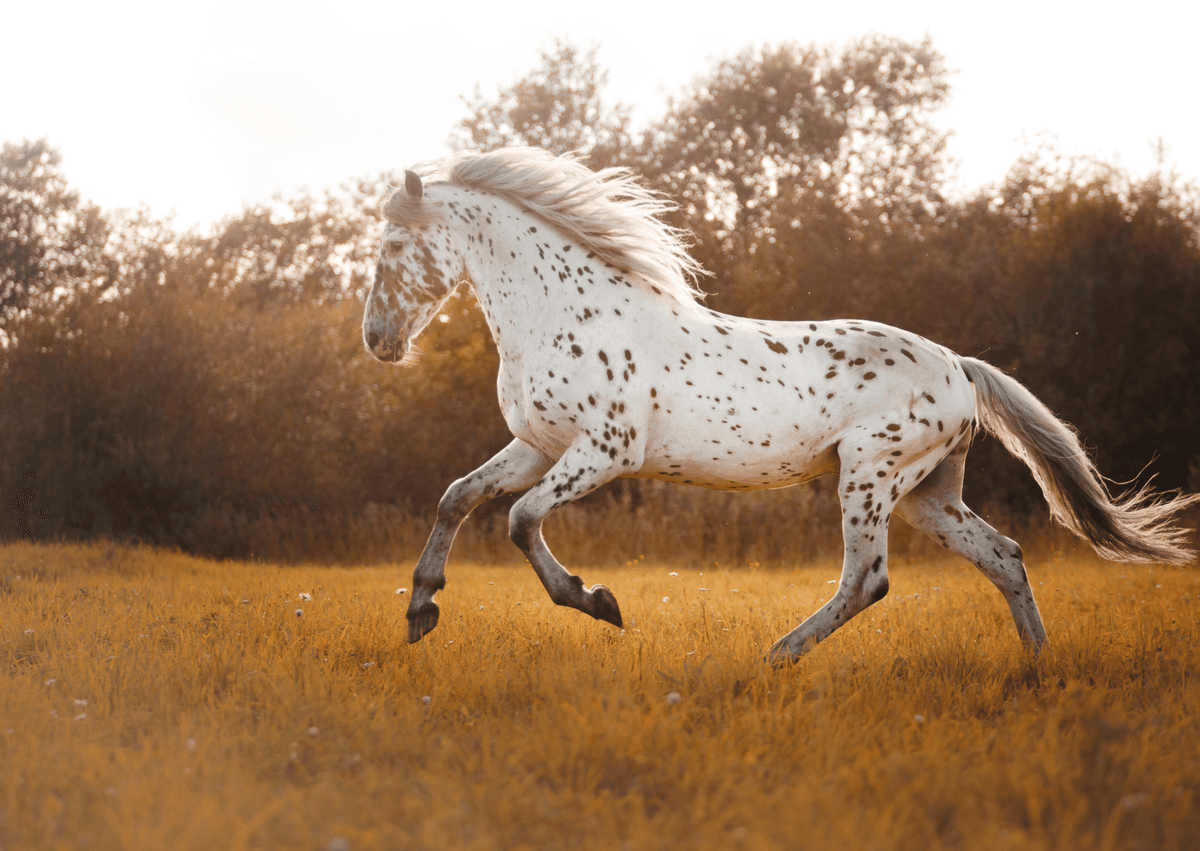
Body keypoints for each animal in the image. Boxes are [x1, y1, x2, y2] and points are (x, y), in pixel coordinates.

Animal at [362, 147, 1200, 662]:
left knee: (867, 579)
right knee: (1005, 556)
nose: (377, 341)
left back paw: (773, 656)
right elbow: (457, 497)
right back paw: (1036, 663)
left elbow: (519, 518)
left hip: (869, 476)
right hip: (928, 493)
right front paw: (420, 611)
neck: (567, 312)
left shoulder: (603, 450)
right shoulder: (538, 444)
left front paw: (598, 601)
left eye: (393, 248)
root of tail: (959, 367)